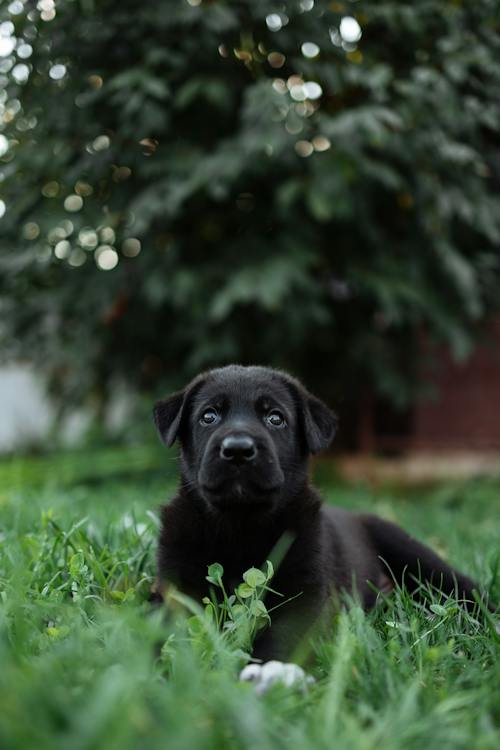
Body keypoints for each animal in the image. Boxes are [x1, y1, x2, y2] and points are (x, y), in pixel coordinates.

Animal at [155, 368, 488, 660]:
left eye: (275, 418)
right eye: (208, 416)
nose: (238, 449)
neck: (240, 524)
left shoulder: (307, 593)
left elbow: (281, 637)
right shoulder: (174, 586)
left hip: (413, 553)